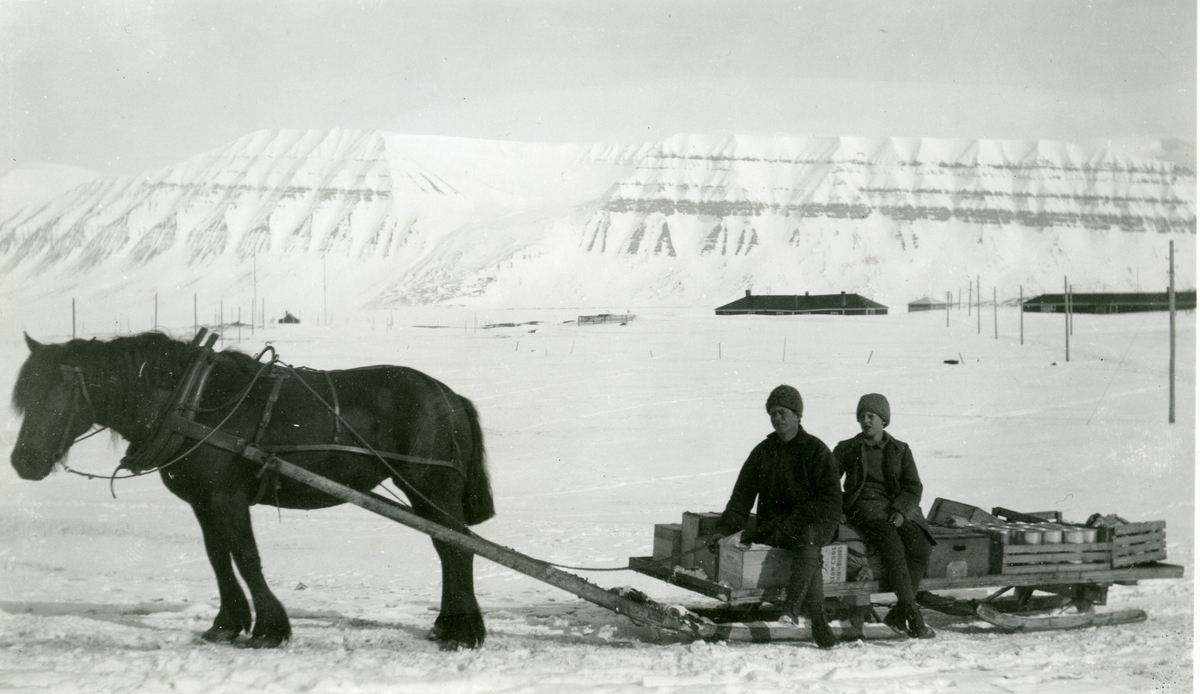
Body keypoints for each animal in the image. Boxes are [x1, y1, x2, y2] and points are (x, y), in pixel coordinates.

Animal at [11, 331, 489, 643]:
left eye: (59, 392)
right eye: (25, 395)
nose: (21, 462)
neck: (191, 405)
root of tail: (449, 396)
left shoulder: (228, 498)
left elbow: (246, 556)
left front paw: (270, 629)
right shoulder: (203, 502)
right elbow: (218, 558)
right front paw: (226, 623)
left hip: (432, 484)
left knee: (456, 547)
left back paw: (463, 630)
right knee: (449, 547)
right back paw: (448, 624)